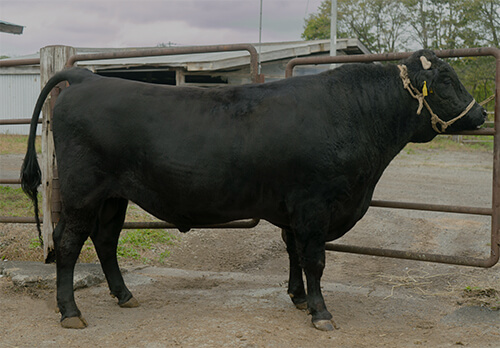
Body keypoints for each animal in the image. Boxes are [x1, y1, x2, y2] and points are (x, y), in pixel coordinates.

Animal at [21, 49, 486, 328]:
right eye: (446, 81)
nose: (481, 113)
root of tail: (87, 77)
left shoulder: (295, 210)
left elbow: (294, 253)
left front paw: (299, 298)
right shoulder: (315, 205)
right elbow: (315, 259)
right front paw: (321, 312)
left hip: (114, 196)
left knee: (105, 241)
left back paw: (124, 295)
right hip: (82, 193)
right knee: (68, 243)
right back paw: (70, 312)